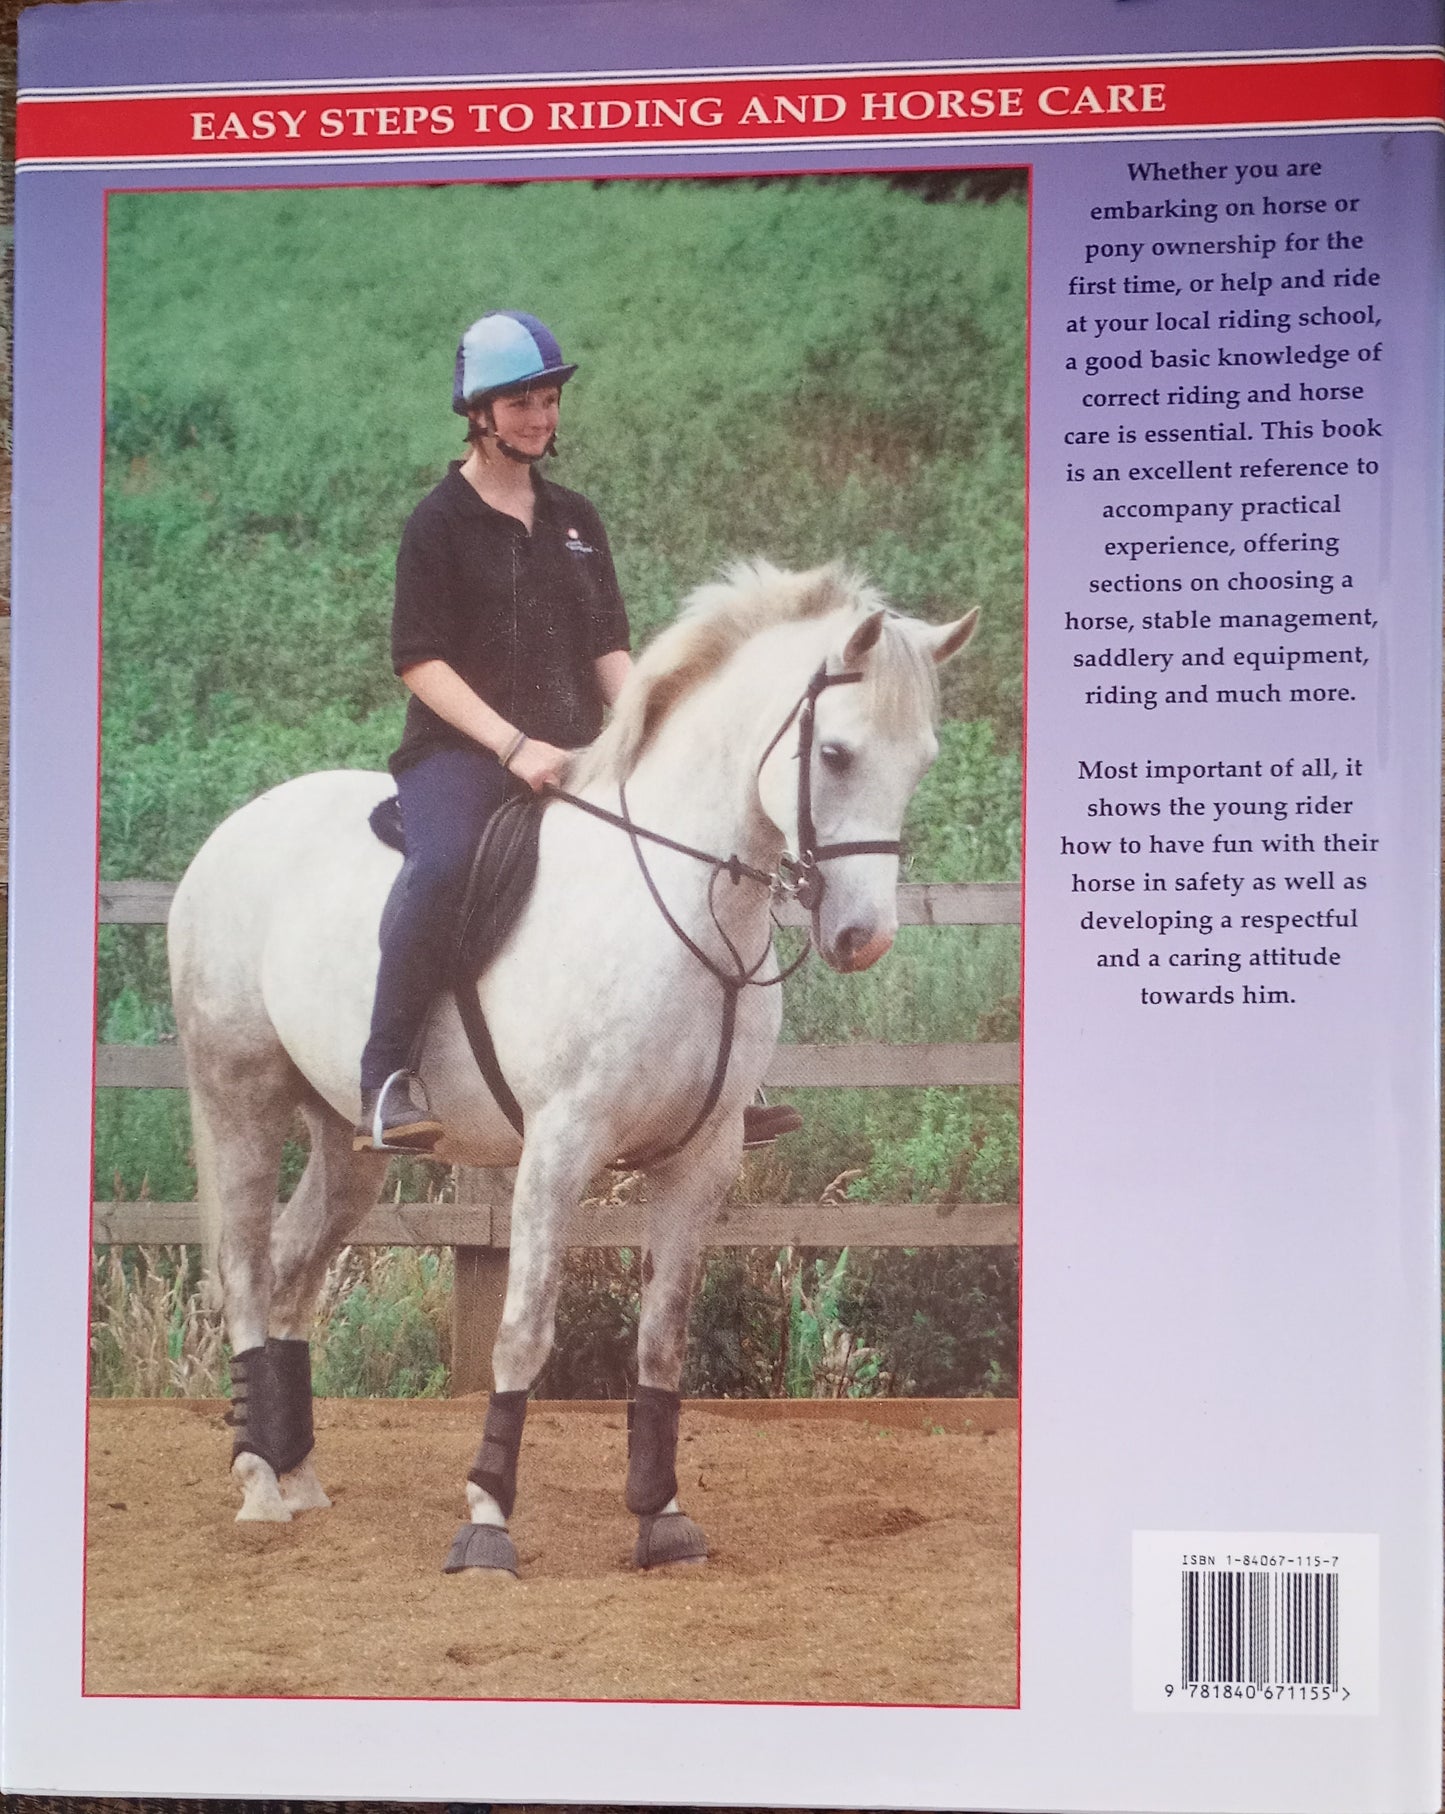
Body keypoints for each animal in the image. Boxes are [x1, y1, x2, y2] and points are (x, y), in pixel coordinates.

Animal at [167, 559, 976, 1573]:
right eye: (832, 753)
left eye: (924, 762)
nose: (863, 939)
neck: (680, 902)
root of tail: (234, 832)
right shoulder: (558, 1148)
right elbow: (524, 1331)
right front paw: (485, 1518)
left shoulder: (702, 1158)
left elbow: (662, 1338)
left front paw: (660, 1515)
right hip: (240, 1093)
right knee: (243, 1265)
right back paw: (259, 1484)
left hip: (346, 1137)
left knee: (292, 1265)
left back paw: (298, 1470)